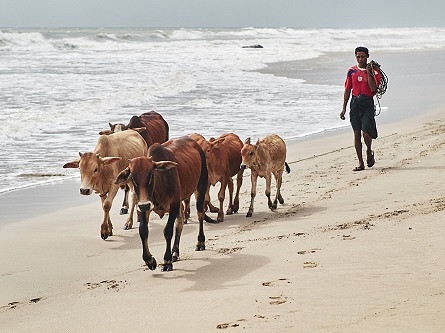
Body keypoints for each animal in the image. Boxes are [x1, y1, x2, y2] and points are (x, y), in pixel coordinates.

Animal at [113, 136, 206, 272]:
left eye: (151, 175)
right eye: (133, 178)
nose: (144, 205)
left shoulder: (173, 205)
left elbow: (167, 231)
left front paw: (167, 261)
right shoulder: (145, 207)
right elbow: (143, 231)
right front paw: (150, 261)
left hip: (200, 188)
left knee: (200, 215)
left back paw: (200, 242)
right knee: (180, 222)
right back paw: (175, 253)